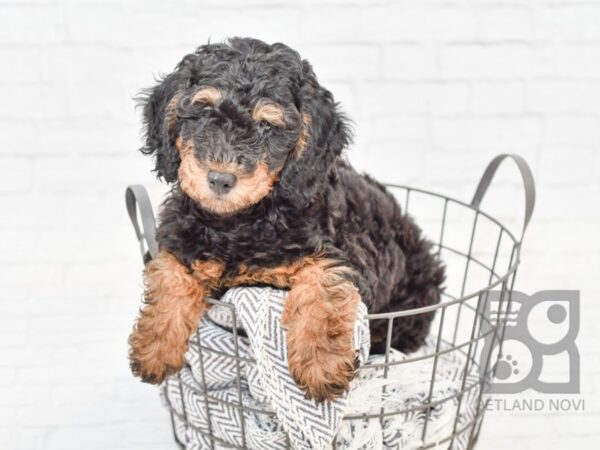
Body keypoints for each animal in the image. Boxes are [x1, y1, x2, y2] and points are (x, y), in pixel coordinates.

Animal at [127, 37, 446, 400]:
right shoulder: (179, 235)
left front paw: (322, 365)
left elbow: (325, 281)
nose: (220, 180)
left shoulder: (351, 254)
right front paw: (154, 348)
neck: (240, 222)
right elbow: (168, 272)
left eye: (267, 126)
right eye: (205, 111)